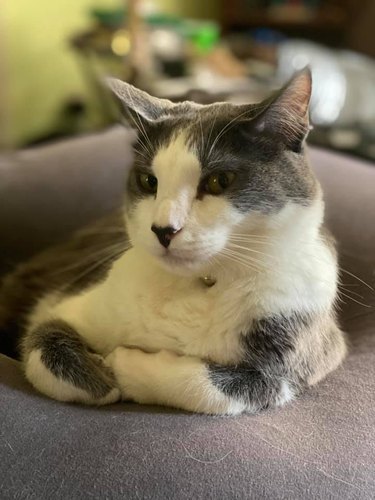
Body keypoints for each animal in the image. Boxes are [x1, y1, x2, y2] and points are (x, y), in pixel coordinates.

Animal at [0, 69, 346, 414]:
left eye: (219, 181)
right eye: (148, 181)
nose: (163, 229)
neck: (197, 283)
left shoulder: (299, 354)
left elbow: (214, 390)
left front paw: (123, 365)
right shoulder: (65, 305)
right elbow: (42, 343)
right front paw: (100, 378)